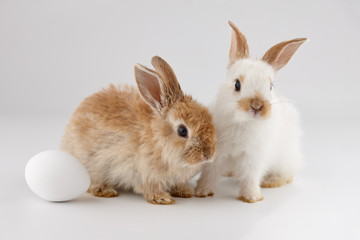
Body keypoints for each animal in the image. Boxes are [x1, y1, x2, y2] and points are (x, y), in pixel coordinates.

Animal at [61, 55, 217, 204]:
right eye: (182, 131)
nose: (208, 154)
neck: (158, 140)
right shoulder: (145, 174)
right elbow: (151, 188)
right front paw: (162, 199)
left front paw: (185, 192)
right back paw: (105, 190)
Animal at [197, 22, 306, 202]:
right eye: (237, 84)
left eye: (270, 86)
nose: (256, 106)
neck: (243, 123)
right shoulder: (217, 156)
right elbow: (210, 175)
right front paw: (202, 191)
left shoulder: (254, 158)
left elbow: (250, 177)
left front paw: (252, 197)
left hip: (286, 159)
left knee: (288, 174)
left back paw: (272, 181)